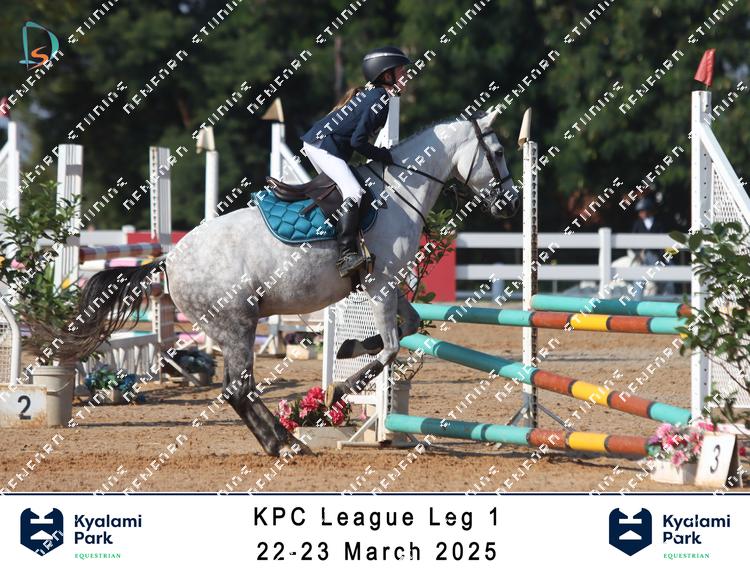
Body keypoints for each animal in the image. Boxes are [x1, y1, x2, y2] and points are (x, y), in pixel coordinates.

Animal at [76, 106, 520, 456]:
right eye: (498, 152)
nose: (511, 203)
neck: (398, 190)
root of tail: (169, 261)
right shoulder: (380, 283)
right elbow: (392, 347)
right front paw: (342, 386)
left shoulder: (385, 283)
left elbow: (404, 327)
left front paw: (350, 346)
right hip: (237, 323)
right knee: (238, 388)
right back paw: (284, 444)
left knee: (240, 388)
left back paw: (283, 441)